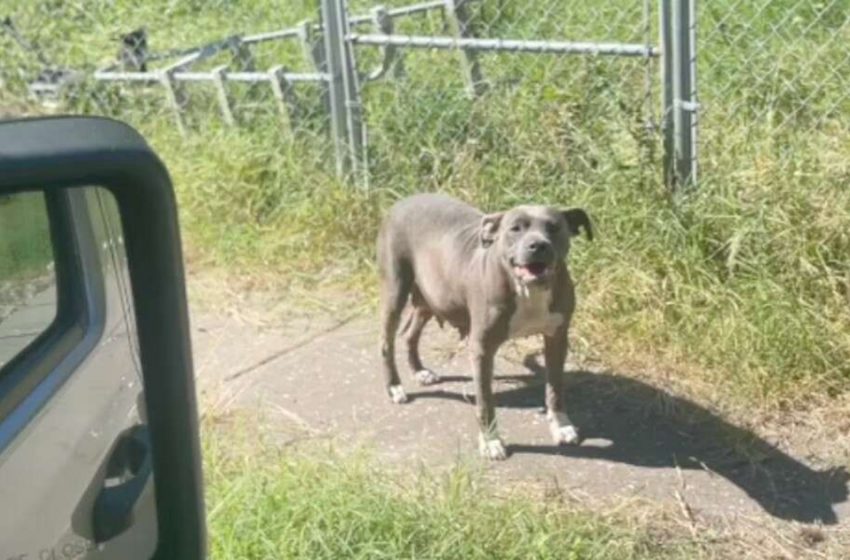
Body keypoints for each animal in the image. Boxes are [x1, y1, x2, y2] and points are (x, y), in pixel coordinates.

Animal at [376, 192, 588, 460]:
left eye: (554, 227)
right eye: (515, 228)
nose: (538, 245)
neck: (528, 290)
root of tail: (403, 201)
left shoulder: (557, 338)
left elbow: (555, 387)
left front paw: (561, 426)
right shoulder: (482, 349)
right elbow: (485, 400)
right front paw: (490, 441)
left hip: (432, 296)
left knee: (411, 334)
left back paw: (420, 370)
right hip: (396, 289)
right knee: (386, 342)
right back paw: (394, 386)